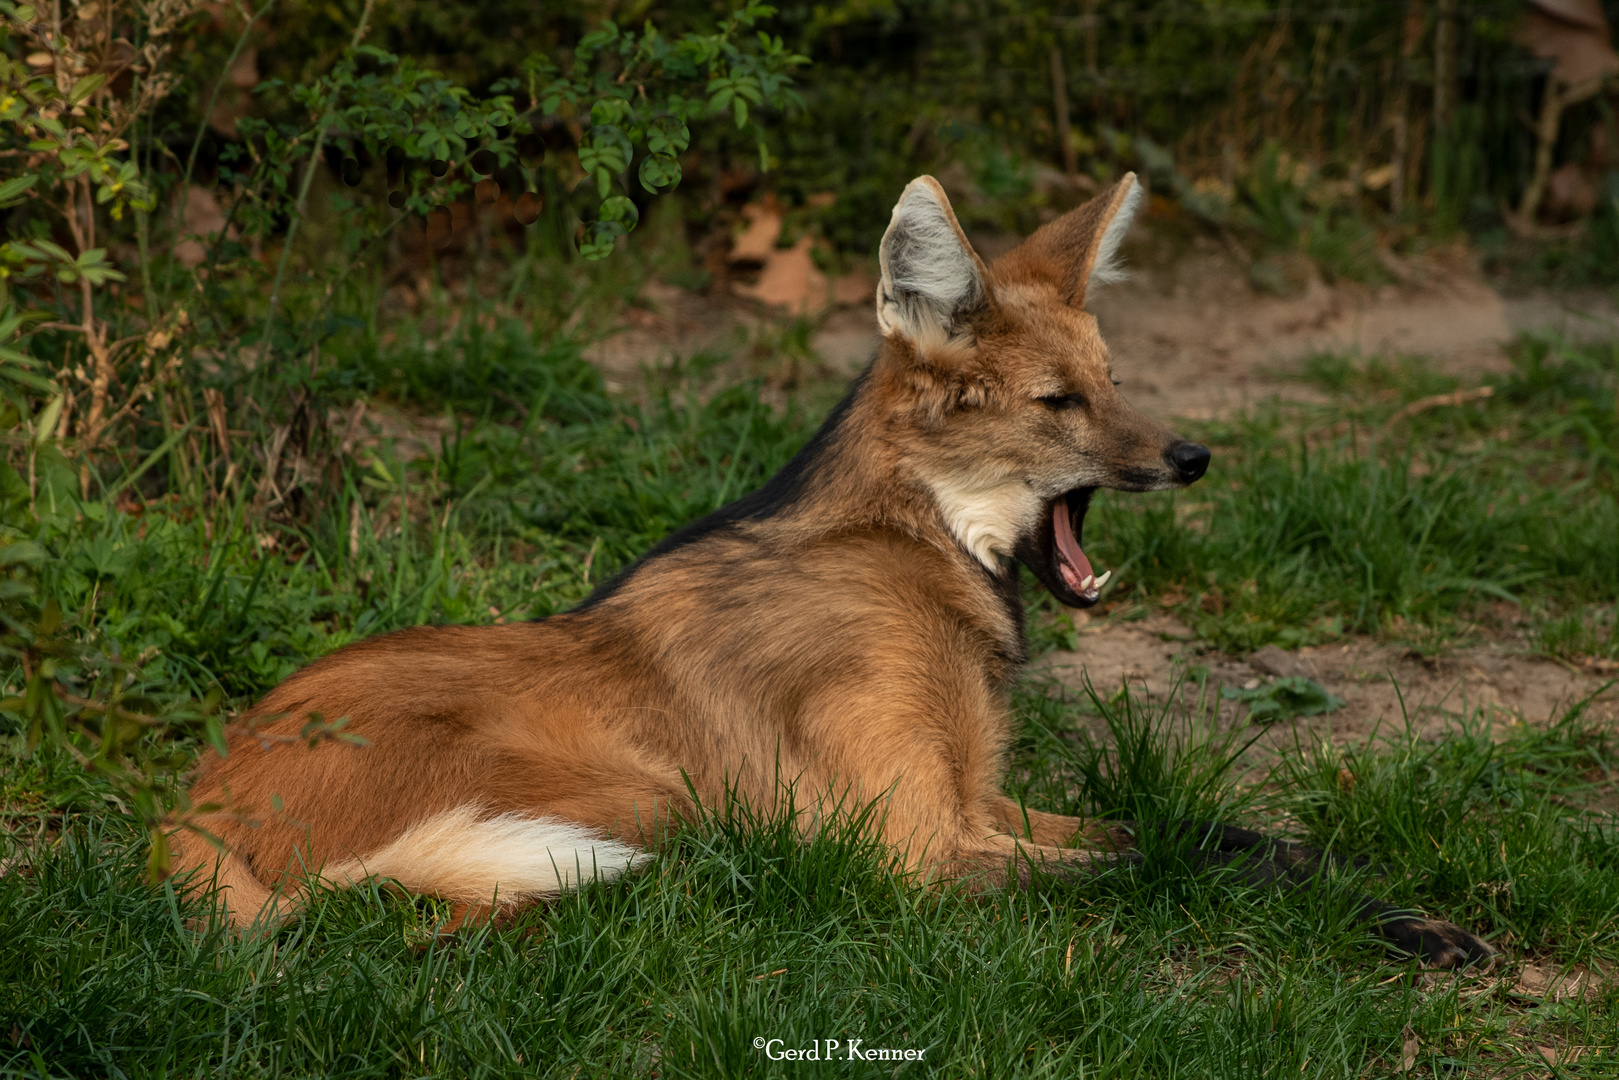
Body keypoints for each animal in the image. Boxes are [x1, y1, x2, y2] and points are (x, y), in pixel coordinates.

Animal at [174, 173, 1489, 965]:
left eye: (1113, 382)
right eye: (1059, 404)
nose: (1190, 457)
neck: (919, 546)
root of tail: (190, 808)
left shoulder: (975, 802)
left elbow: (1206, 833)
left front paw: (1394, 902)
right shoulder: (917, 854)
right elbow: (1164, 868)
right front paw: (1392, 921)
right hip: (641, 801)